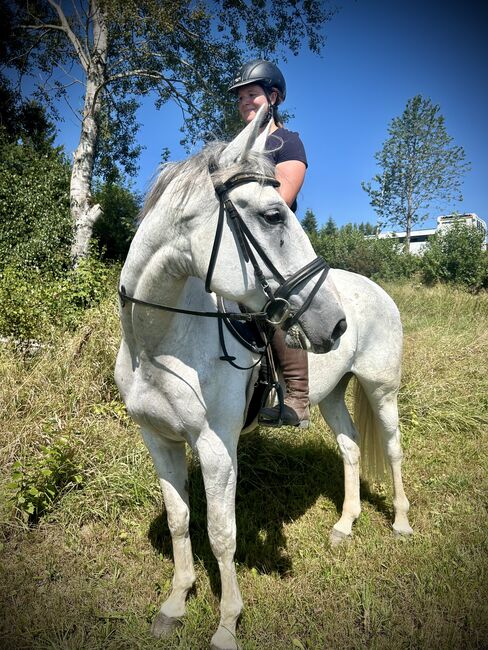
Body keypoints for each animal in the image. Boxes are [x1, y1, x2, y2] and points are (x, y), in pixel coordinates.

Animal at [114, 109, 412, 644]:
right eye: (273, 216)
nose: (336, 324)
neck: (156, 345)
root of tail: (373, 288)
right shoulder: (158, 439)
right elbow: (178, 520)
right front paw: (175, 603)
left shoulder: (216, 446)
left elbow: (221, 533)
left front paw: (227, 624)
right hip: (331, 395)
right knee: (351, 447)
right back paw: (345, 525)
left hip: (381, 389)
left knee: (394, 447)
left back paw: (400, 523)